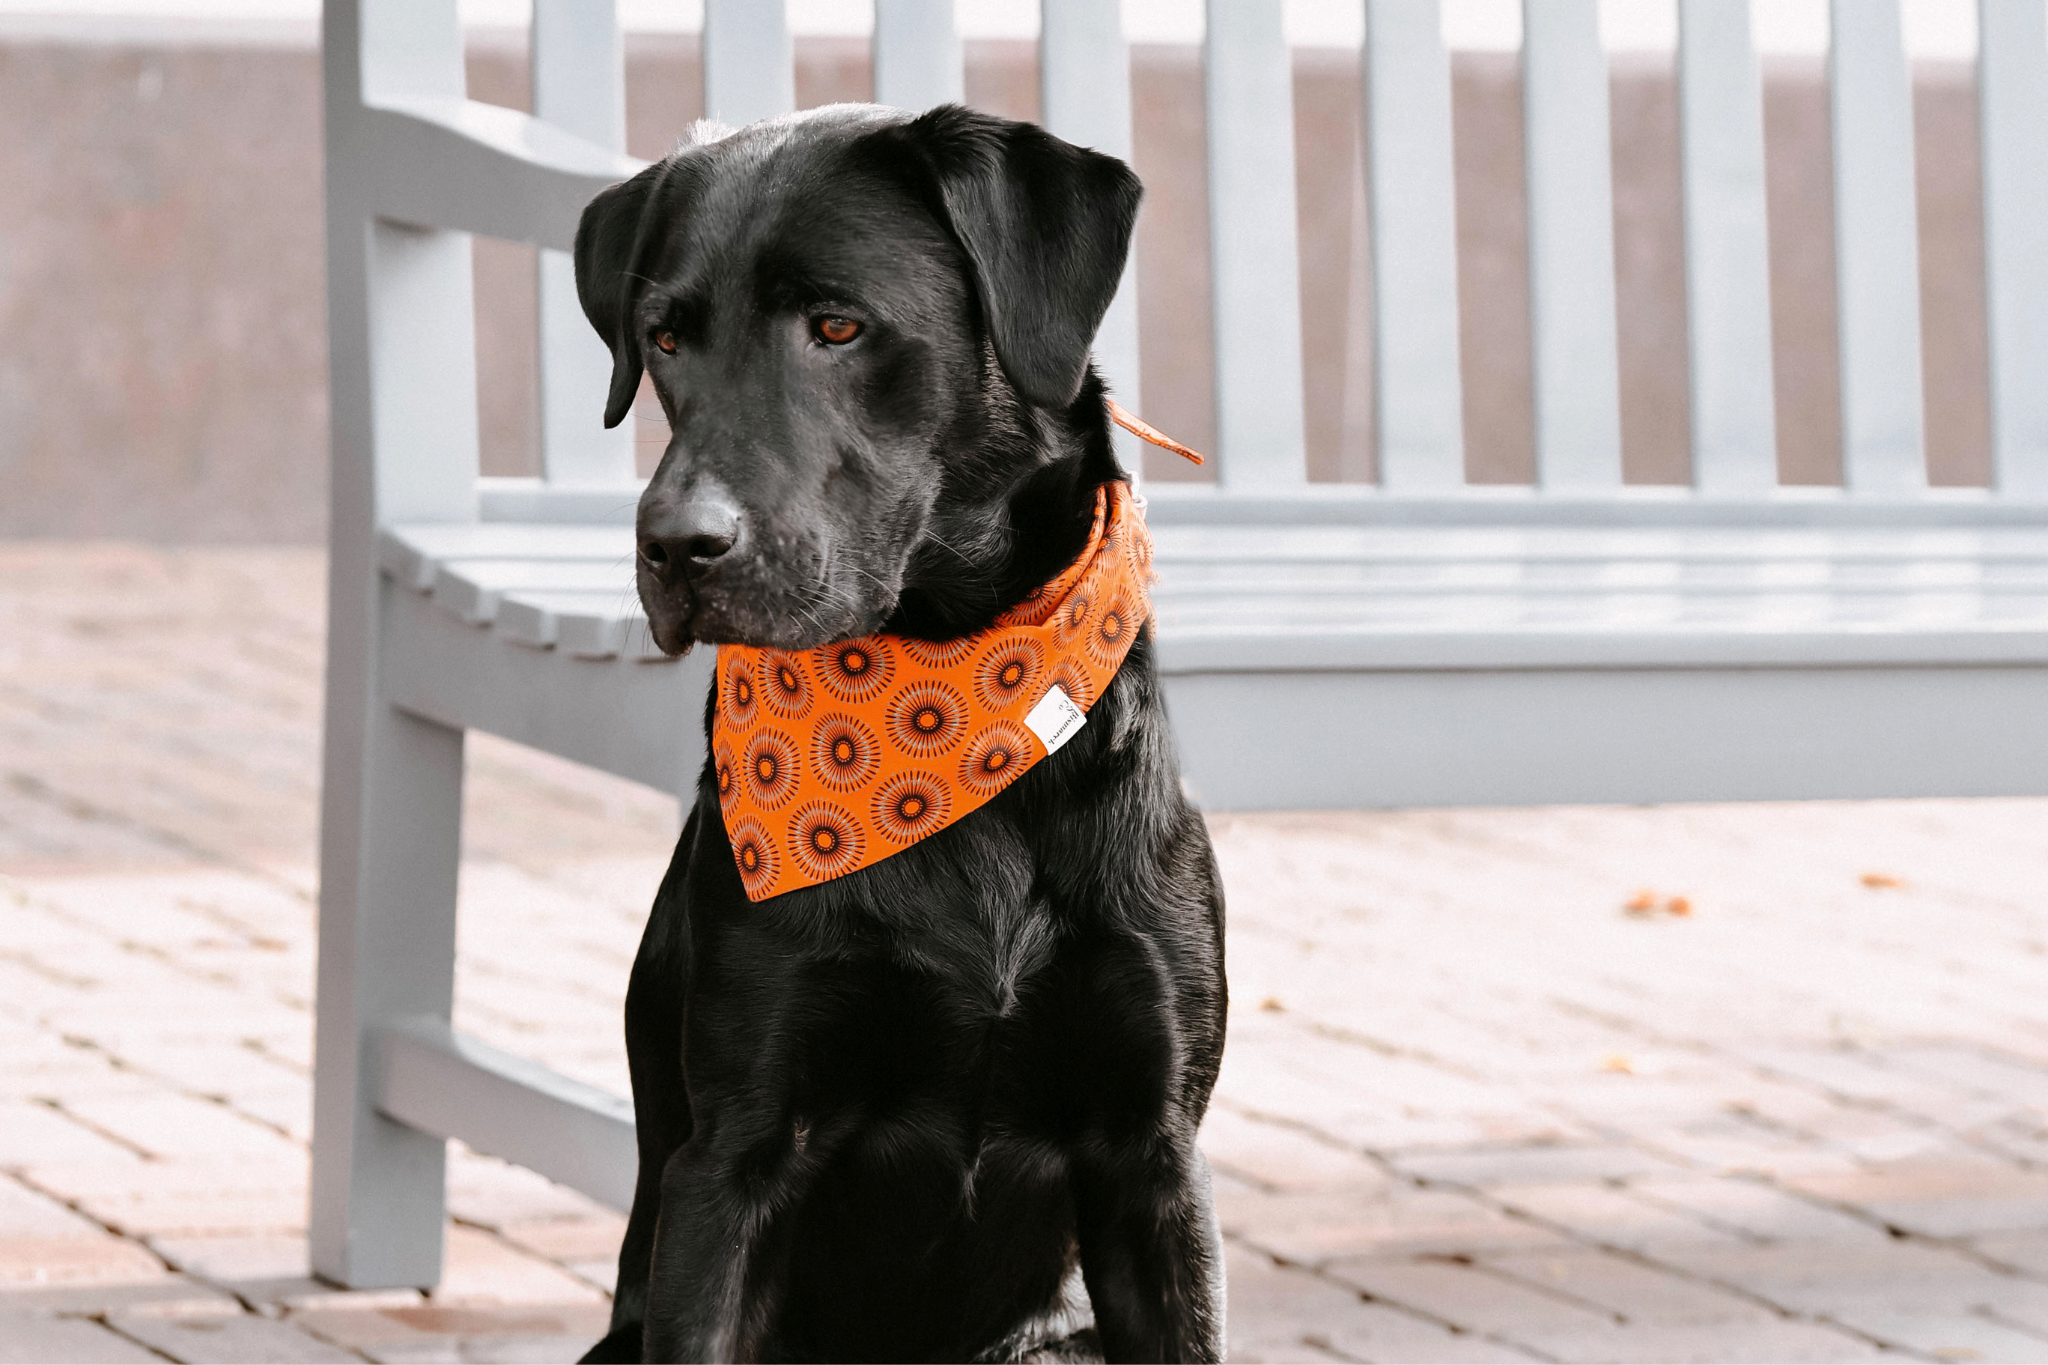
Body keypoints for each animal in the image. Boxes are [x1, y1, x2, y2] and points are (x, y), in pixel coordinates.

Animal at [569, 104, 1220, 1365]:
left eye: (837, 325)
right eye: (664, 338)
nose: (674, 546)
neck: (944, 705)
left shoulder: (1150, 1158)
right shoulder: (733, 1158)